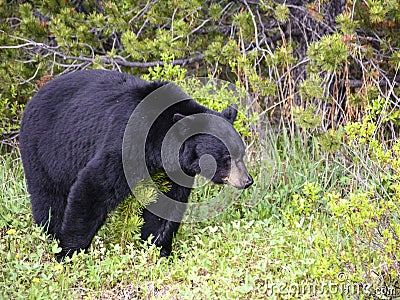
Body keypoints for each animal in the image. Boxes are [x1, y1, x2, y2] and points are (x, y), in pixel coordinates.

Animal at [19, 69, 253, 260]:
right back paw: (50, 232)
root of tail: (33, 99)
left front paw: (158, 250)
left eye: (241, 153)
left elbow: (167, 204)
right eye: (226, 157)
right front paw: (69, 252)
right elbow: (94, 186)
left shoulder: (173, 169)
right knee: (49, 196)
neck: (158, 140)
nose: (247, 181)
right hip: (44, 150)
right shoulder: (126, 142)